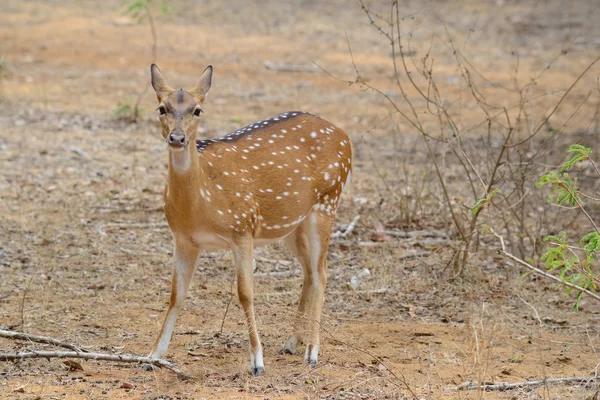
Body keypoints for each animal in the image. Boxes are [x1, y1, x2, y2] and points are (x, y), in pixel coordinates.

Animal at [149, 64, 352, 376]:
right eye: (162, 107)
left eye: (197, 110)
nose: (177, 138)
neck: (202, 204)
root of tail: (345, 136)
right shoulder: (184, 238)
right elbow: (176, 294)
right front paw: (153, 355)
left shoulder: (242, 227)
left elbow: (245, 293)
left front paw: (257, 362)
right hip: (290, 223)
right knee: (308, 272)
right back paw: (291, 343)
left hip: (328, 201)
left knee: (322, 273)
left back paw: (312, 352)